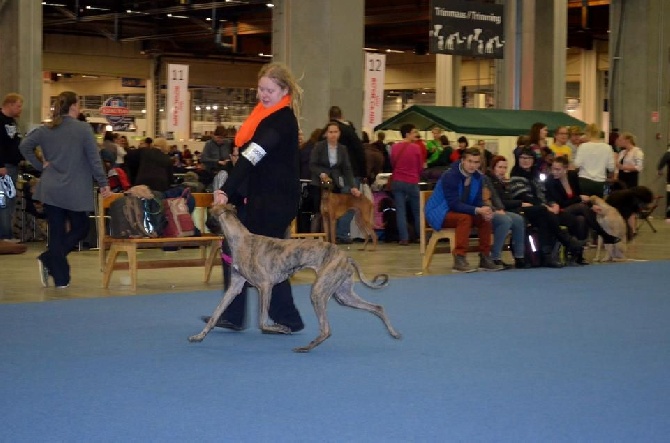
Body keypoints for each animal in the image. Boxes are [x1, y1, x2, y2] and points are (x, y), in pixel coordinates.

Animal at [189, 205, 402, 354]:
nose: (201, 226)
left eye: (210, 212)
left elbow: (262, 322)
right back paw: (394, 333)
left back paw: (305, 348)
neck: (241, 239)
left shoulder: (265, 286)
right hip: (343, 295)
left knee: (326, 329)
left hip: (319, 292)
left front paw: (281, 328)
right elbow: (216, 314)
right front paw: (199, 336)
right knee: (377, 307)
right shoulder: (235, 287)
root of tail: (346, 256)